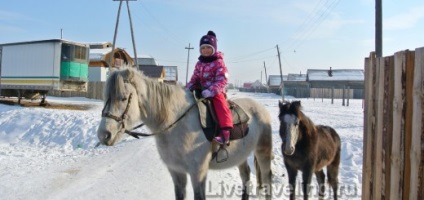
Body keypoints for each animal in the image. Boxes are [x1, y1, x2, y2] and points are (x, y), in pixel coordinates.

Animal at [97, 68, 272, 199]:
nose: (103, 135)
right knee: (246, 176)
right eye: (105, 96)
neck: (176, 124)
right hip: (241, 156)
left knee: (267, 178)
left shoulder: (198, 173)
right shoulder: (176, 172)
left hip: (263, 151)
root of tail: (259, 107)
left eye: (123, 98)